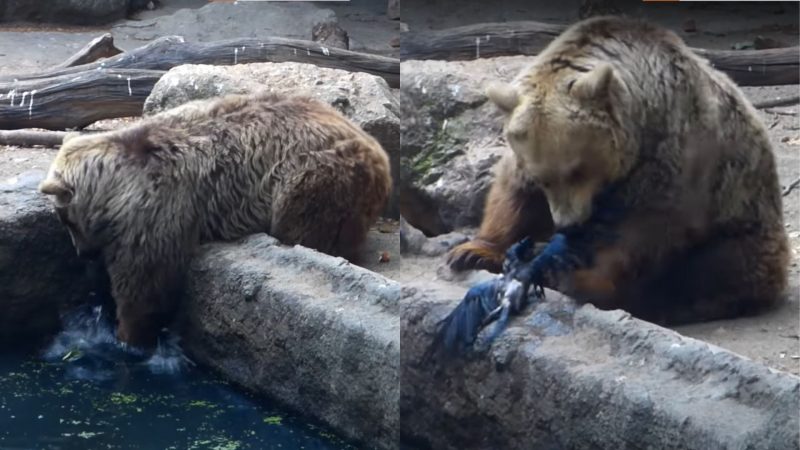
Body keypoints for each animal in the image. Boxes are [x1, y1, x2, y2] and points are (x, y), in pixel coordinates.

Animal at [39, 92, 392, 349]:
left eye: (65, 219)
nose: (83, 253)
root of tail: (379, 153)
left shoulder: (157, 209)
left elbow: (145, 281)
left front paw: (128, 334)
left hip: (312, 174)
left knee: (305, 221)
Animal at [445, 16, 789, 327]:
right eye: (545, 178)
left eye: (577, 170)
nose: (568, 225)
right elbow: (512, 194)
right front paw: (472, 251)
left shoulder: (671, 159)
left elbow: (641, 233)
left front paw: (579, 277)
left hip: (739, 224)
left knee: (706, 272)